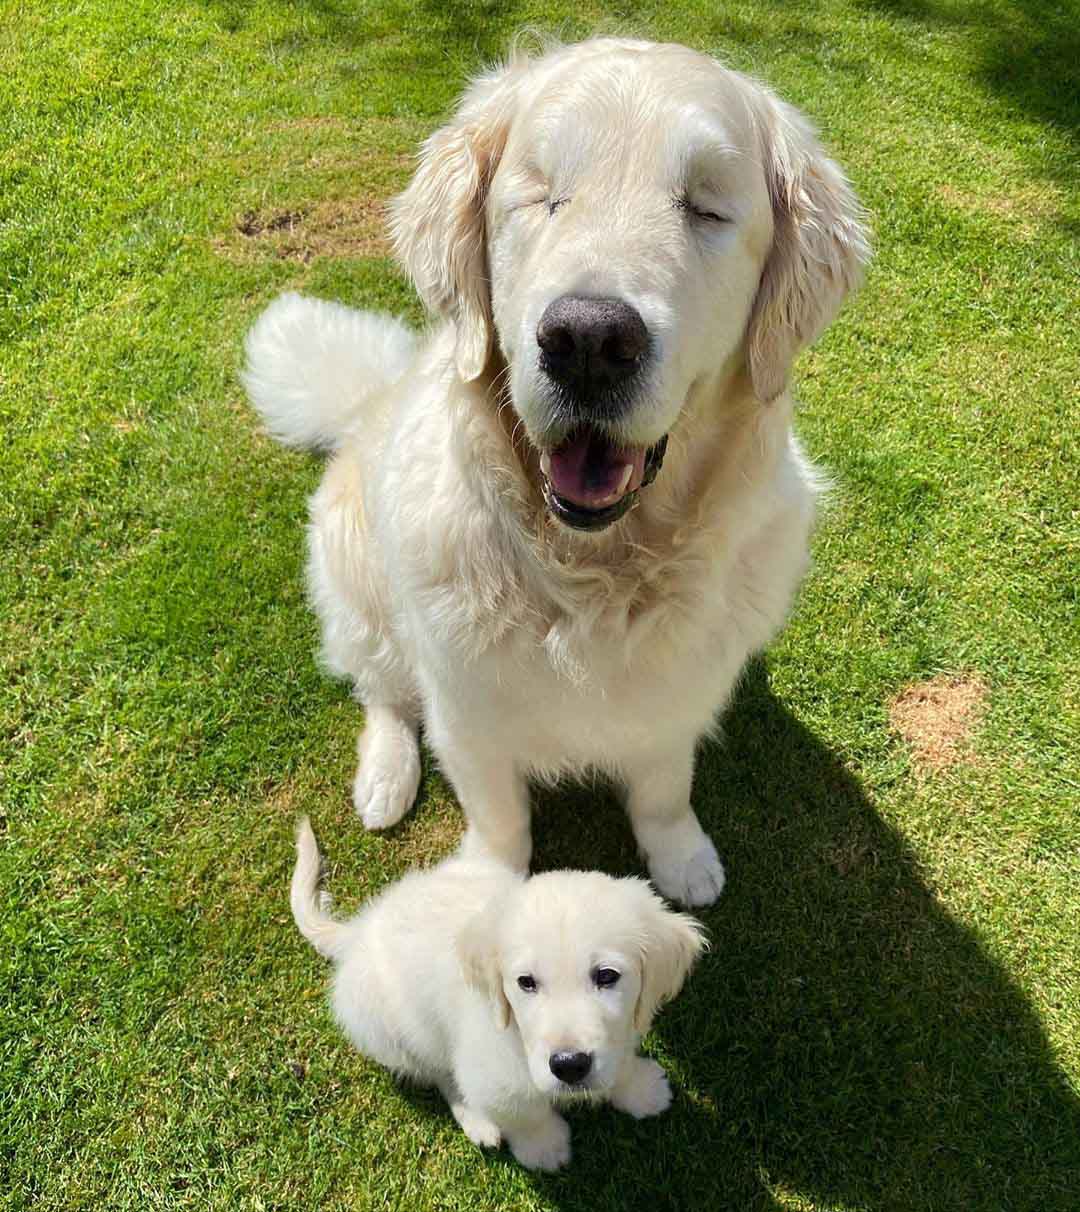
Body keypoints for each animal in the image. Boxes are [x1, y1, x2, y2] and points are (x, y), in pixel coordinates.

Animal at [244, 37, 867, 906]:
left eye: (706, 208)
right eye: (543, 195)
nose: (590, 341)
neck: (593, 579)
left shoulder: (675, 701)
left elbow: (665, 787)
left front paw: (682, 859)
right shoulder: (467, 716)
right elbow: (500, 818)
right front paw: (488, 893)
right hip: (356, 588)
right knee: (380, 690)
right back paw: (385, 778)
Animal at [290, 819, 703, 1168]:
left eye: (606, 976)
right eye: (526, 982)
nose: (569, 1065)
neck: (518, 1040)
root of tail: (358, 932)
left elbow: (620, 1065)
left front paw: (639, 1088)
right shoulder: (488, 1068)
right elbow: (520, 1111)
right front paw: (544, 1147)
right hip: (394, 1034)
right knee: (441, 1074)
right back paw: (477, 1121)